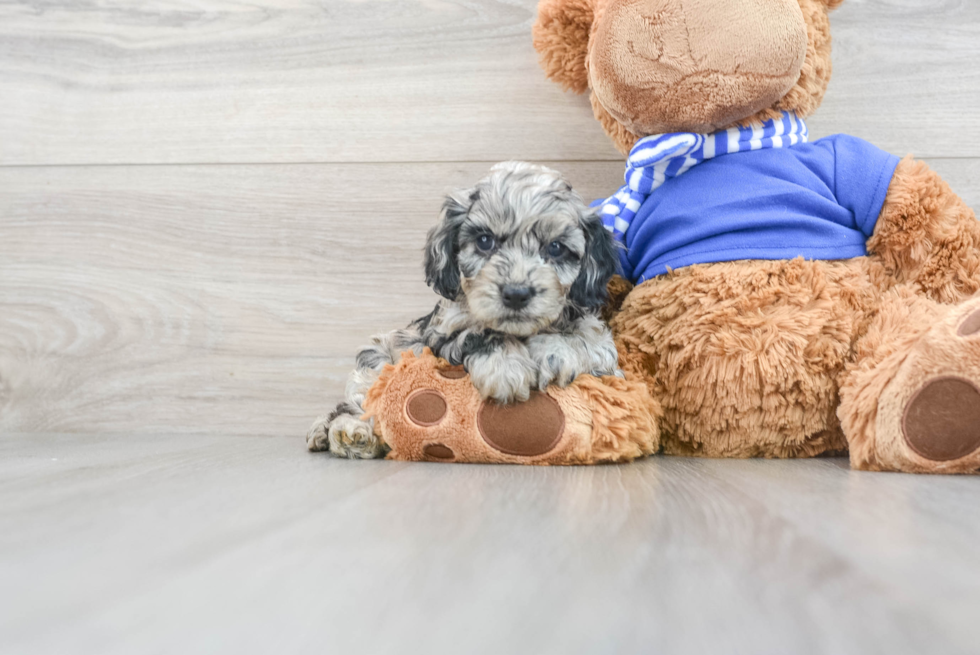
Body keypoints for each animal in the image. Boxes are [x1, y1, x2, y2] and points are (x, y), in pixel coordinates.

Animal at [306, 163, 620, 462]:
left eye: (555, 247)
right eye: (484, 241)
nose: (516, 293)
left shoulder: (602, 347)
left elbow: (587, 339)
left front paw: (555, 353)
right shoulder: (443, 331)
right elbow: (475, 333)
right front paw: (506, 368)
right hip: (376, 363)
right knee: (355, 406)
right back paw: (348, 433)